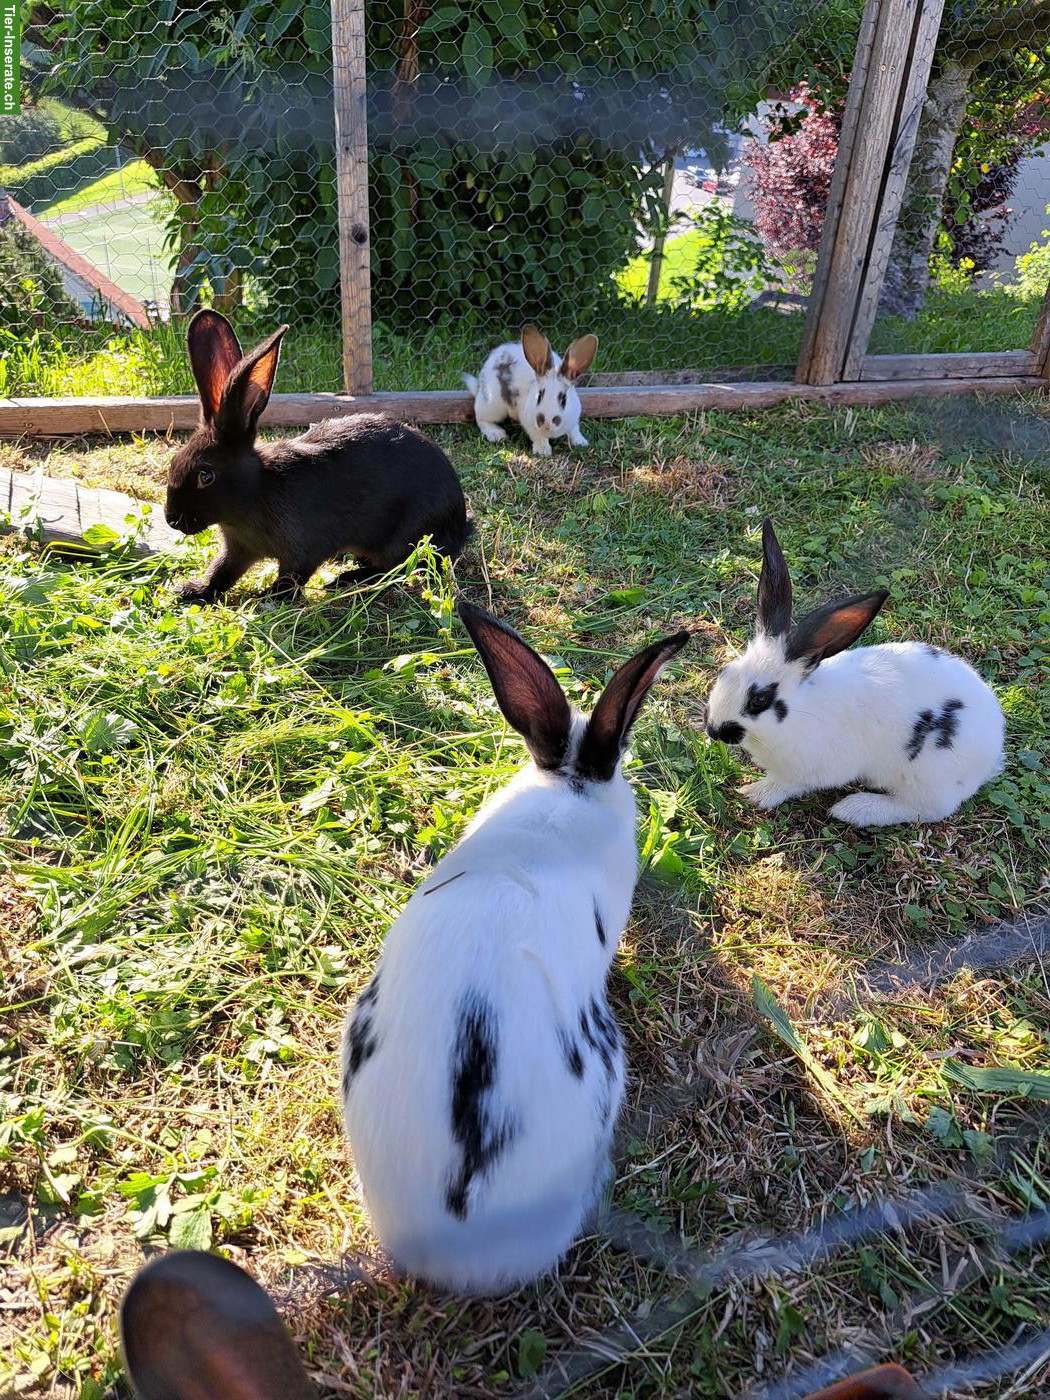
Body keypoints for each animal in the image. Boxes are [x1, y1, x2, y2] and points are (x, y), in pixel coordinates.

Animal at [165, 309, 473, 603]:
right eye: (174, 462)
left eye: (206, 475)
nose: (171, 520)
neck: (256, 493)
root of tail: (461, 525)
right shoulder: (239, 550)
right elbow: (221, 572)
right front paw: (192, 591)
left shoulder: (303, 551)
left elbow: (292, 577)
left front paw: (268, 597)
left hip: (404, 539)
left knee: (394, 569)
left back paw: (346, 579)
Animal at [463, 323, 597, 457]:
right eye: (539, 396)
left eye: (564, 399)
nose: (546, 422)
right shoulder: (528, 421)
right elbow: (538, 436)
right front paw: (543, 450)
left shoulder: (574, 418)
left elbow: (574, 430)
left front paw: (581, 442)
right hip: (492, 404)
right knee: (481, 419)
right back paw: (496, 434)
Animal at [703, 518, 1005, 827]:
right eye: (725, 672)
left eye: (760, 700)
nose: (714, 730)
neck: (801, 711)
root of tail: (992, 750)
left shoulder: (813, 769)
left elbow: (787, 784)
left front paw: (755, 794)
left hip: (925, 775)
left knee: (926, 808)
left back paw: (856, 808)